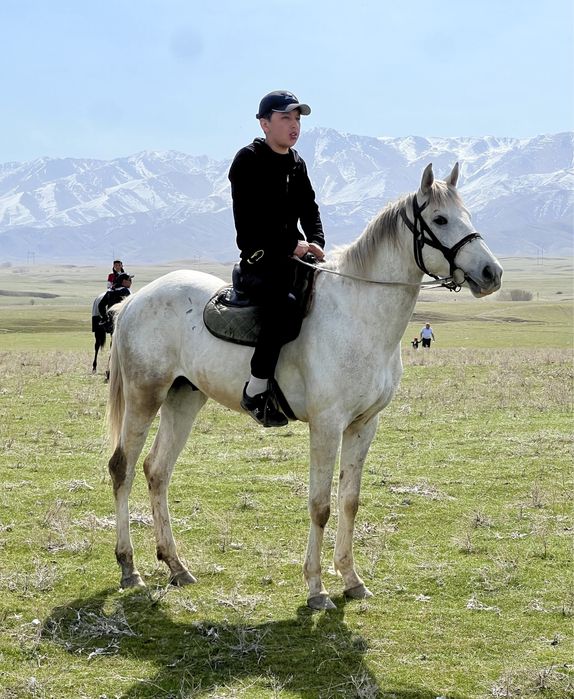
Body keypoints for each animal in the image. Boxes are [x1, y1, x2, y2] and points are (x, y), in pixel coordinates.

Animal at [105, 163, 503, 610]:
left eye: (466, 214)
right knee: (122, 468)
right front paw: (317, 589)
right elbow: (320, 506)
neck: (360, 314)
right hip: (145, 395)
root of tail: (135, 301)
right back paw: (129, 568)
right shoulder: (326, 425)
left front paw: (351, 579)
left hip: (184, 399)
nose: (492, 273)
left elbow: (349, 501)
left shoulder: (364, 425)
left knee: (157, 471)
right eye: (440, 219)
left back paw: (176, 566)